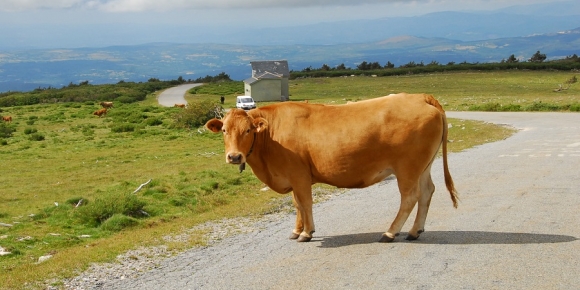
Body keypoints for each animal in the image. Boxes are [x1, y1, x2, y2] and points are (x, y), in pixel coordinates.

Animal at [206, 93, 460, 242]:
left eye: (248, 130)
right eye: (224, 130)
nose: (234, 156)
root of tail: (420, 97)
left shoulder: (299, 175)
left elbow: (305, 203)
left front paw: (307, 233)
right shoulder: (292, 177)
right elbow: (297, 204)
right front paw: (297, 230)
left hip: (407, 168)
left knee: (410, 197)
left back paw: (390, 232)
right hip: (423, 166)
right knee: (427, 192)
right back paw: (415, 231)